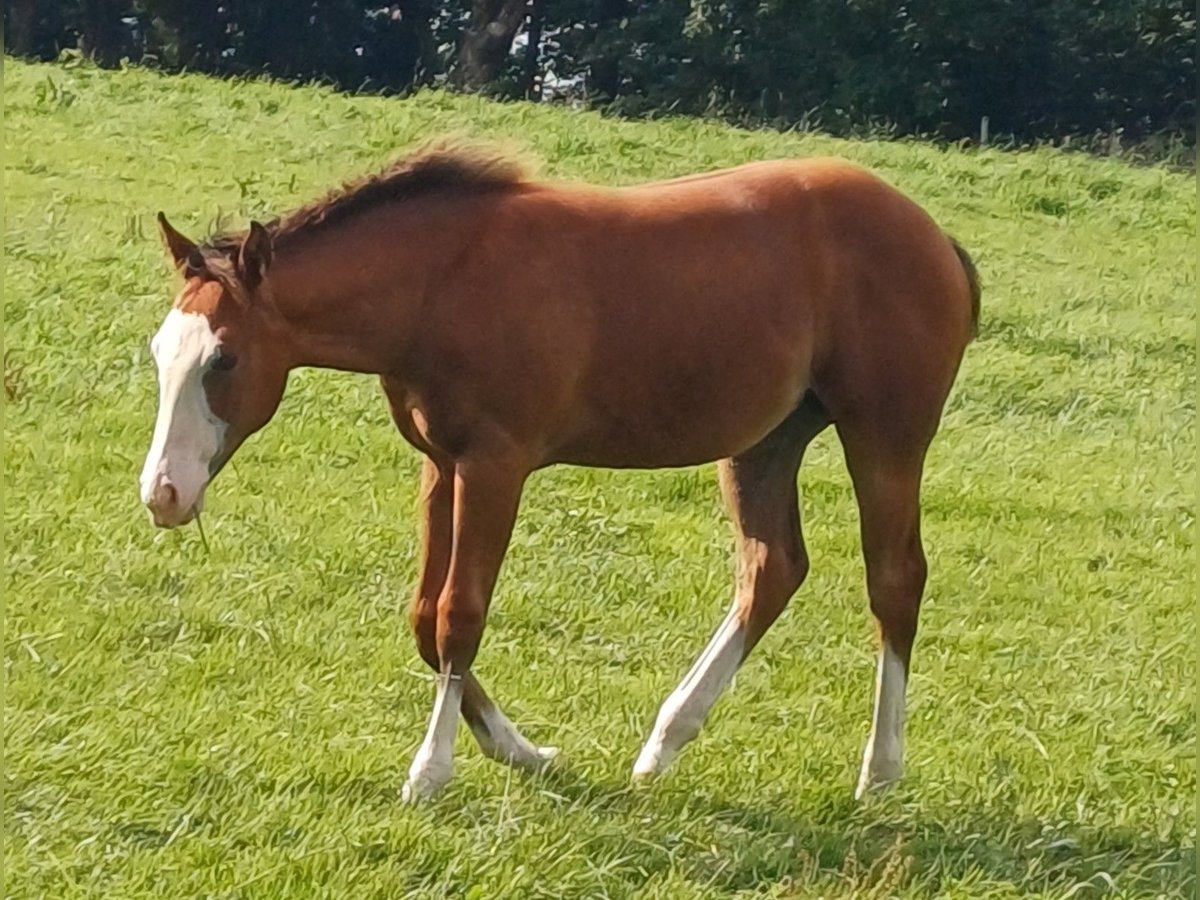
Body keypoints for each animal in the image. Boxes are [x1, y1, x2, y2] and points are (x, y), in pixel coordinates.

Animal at [140, 143, 979, 802]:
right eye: (159, 351)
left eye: (224, 359)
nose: (163, 495)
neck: (444, 283)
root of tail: (936, 236)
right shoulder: (442, 465)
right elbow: (423, 616)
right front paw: (525, 751)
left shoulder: (496, 464)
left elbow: (459, 614)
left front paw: (431, 770)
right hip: (765, 442)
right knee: (772, 568)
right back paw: (664, 742)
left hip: (887, 437)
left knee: (895, 580)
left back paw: (879, 771)